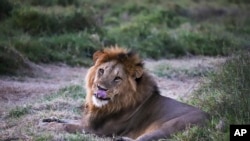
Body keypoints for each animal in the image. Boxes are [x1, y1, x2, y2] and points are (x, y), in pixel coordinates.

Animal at [42, 46, 209, 141]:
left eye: (117, 78)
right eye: (101, 71)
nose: (100, 88)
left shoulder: (96, 130)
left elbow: (68, 126)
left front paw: (50, 126)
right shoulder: (89, 121)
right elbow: (70, 119)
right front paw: (49, 119)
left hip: (170, 125)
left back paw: (122, 139)